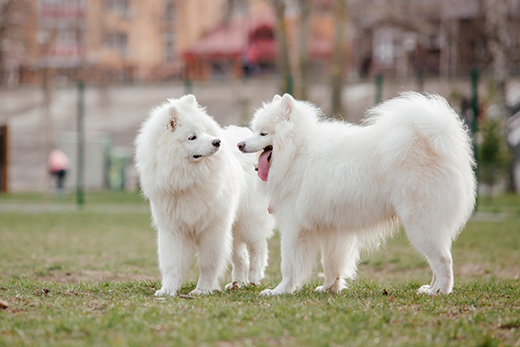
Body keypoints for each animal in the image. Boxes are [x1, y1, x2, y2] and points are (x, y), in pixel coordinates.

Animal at [134, 94, 274, 296]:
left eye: (205, 132)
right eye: (192, 137)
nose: (217, 142)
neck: (187, 179)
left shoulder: (212, 228)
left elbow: (208, 263)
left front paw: (202, 290)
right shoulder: (173, 229)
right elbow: (172, 263)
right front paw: (167, 290)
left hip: (248, 220)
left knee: (258, 247)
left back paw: (254, 277)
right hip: (233, 226)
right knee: (240, 256)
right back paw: (237, 283)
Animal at [238, 92, 478, 296]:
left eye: (263, 133)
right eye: (253, 130)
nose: (240, 144)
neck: (297, 150)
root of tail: (438, 139)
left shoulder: (293, 227)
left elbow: (288, 265)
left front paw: (279, 290)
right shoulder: (331, 229)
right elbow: (331, 264)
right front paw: (329, 288)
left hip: (420, 224)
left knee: (443, 260)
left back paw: (440, 291)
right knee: (438, 261)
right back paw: (430, 288)